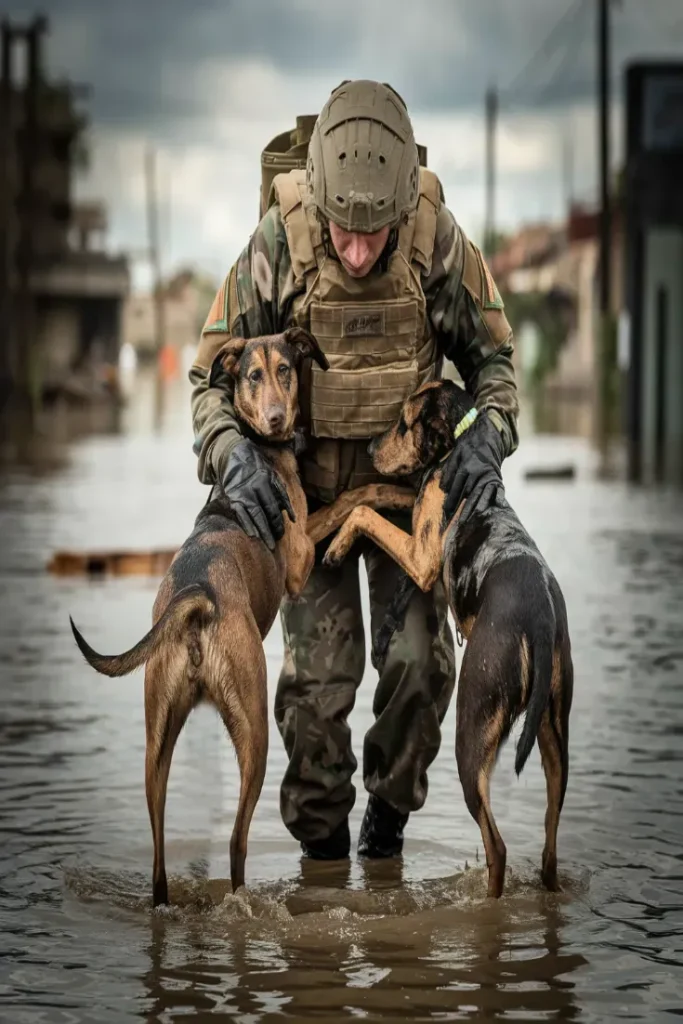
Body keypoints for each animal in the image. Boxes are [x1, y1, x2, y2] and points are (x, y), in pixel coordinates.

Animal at [70, 325, 411, 905]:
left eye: (286, 370)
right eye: (253, 375)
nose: (275, 418)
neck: (259, 449)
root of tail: (198, 598)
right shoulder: (300, 554)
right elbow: (352, 499)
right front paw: (389, 491)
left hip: (157, 743)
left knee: (160, 858)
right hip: (254, 728)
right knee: (235, 842)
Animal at [323, 380, 573, 901]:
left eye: (403, 423)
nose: (371, 448)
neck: (458, 445)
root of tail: (540, 615)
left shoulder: (420, 558)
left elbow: (365, 513)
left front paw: (336, 545)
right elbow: (373, 494)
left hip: (471, 732)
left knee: (497, 847)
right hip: (554, 739)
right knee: (548, 850)